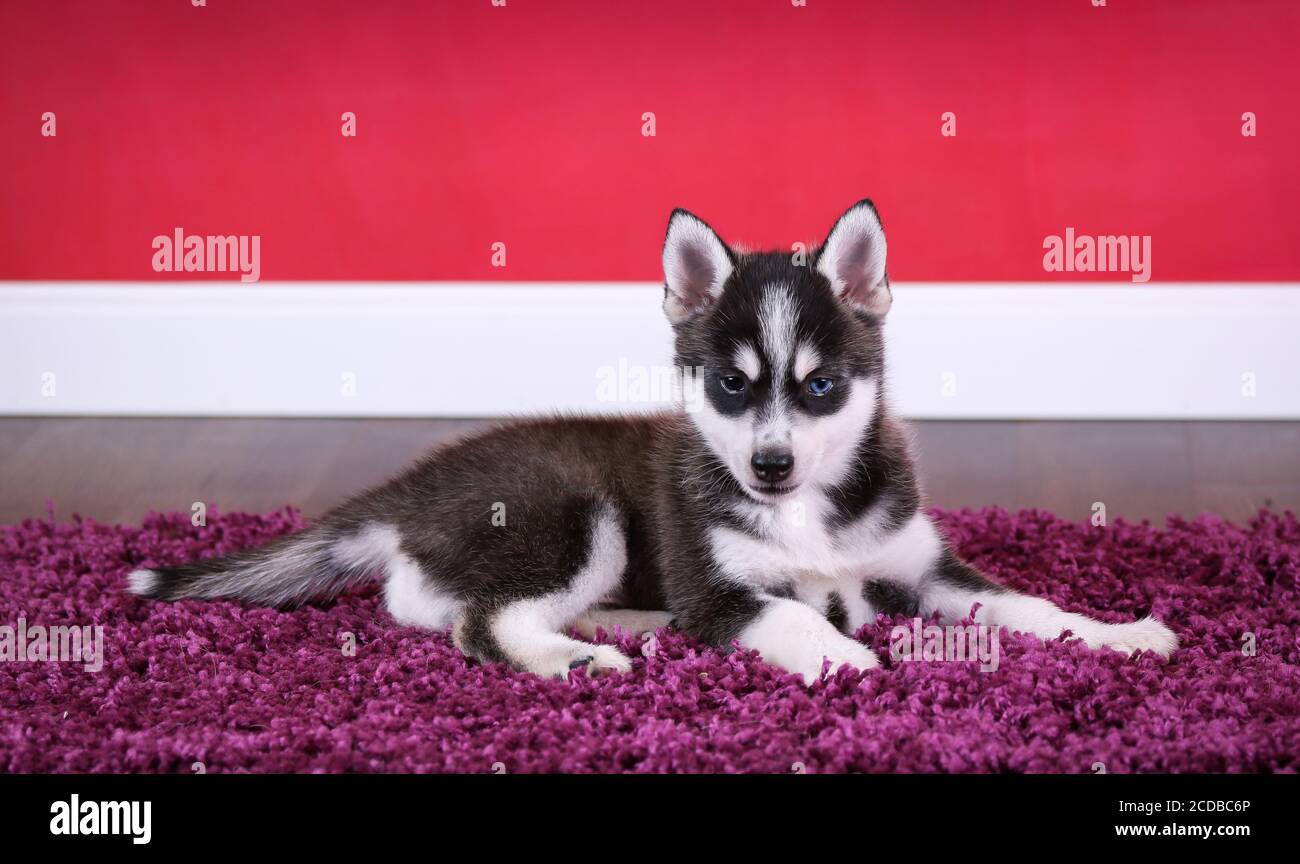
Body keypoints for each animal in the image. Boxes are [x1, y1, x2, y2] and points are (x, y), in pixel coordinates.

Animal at [131, 200, 1180, 680]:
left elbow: (1030, 605)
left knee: (428, 602)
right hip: (574, 516)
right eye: (731, 384)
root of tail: (407, 490)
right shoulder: (719, 590)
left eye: (820, 386)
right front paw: (849, 659)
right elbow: (791, 615)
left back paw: (613, 626)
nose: (768, 466)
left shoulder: (920, 566)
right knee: (474, 619)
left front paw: (1117, 632)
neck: (808, 514)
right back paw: (578, 657)